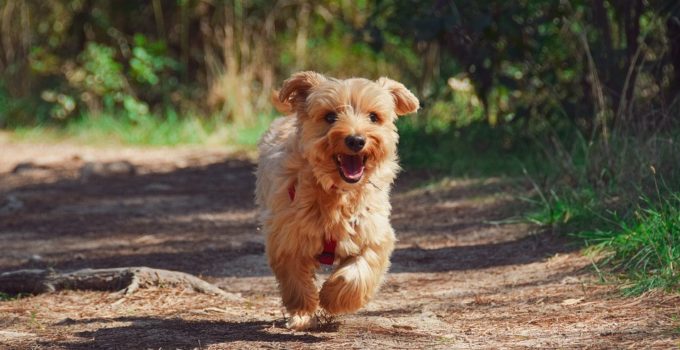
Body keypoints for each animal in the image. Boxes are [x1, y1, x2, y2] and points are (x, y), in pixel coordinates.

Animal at [254, 72, 418, 330]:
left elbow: (359, 272)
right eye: (330, 116)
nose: (356, 140)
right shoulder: (287, 237)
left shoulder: (373, 233)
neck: (337, 193)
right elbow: (295, 280)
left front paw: (332, 297)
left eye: (374, 116)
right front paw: (302, 311)